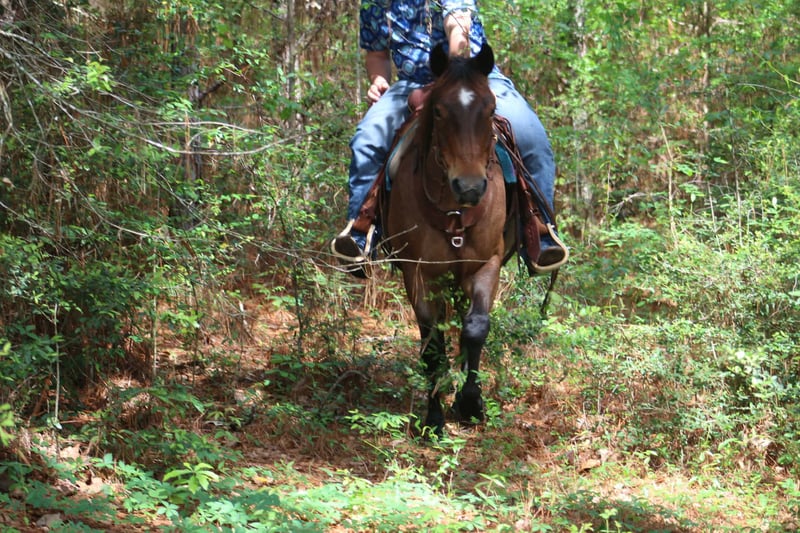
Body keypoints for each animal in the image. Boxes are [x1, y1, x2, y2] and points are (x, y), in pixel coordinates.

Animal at [383, 42, 514, 436]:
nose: (469, 187)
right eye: (439, 111)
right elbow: (431, 345)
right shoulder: (418, 272)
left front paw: (470, 403)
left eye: (490, 109)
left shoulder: (486, 263)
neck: (454, 212)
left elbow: (475, 327)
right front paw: (434, 419)